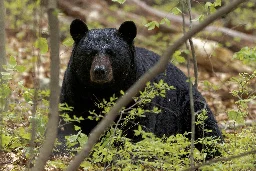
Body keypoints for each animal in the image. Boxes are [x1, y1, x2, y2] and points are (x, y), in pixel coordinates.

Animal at [59, 19, 223, 156]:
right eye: (90, 53)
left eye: (112, 53)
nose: (99, 71)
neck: (103, 91)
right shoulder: (74, 91)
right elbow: (67, 123)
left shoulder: (137, 95)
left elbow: (137, 128)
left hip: (188, 105)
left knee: (206, 128)